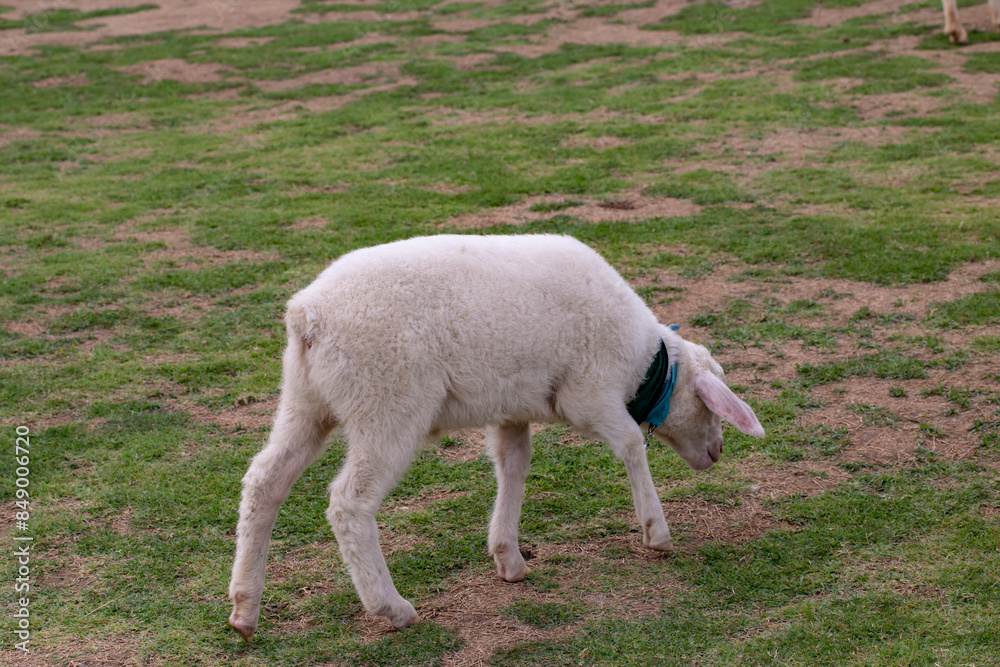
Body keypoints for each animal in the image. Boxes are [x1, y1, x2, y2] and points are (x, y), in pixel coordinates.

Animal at [228, 234, 764, 640]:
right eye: (710, 406)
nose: (717, 452)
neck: (645, 366)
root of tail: (307, 316)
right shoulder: (590, 395)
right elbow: (632, 444)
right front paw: (657, 532)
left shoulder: (512, 409)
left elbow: (514, 464)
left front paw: (508, 556)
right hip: (389, 406)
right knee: (348, 503)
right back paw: (391, 607)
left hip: (305, 402)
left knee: (264, 481)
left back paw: (244, 608)